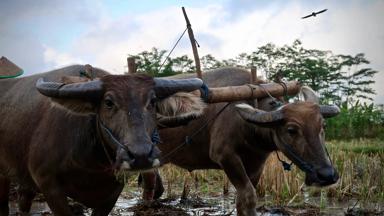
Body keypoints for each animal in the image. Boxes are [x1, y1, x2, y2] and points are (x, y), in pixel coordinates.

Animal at [0, 65, 207, 215]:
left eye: (153, 101)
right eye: (108, 103)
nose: (141, 156)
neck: (91, 161)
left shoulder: (112, 194)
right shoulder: (48, 184)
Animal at [141, 68, 340, 216]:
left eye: (323, 126)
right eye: (291, 130)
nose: (327, 175)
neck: (248, 127)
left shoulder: (257, 163)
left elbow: (243, 198)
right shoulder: (225, 156)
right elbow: (249, 196)